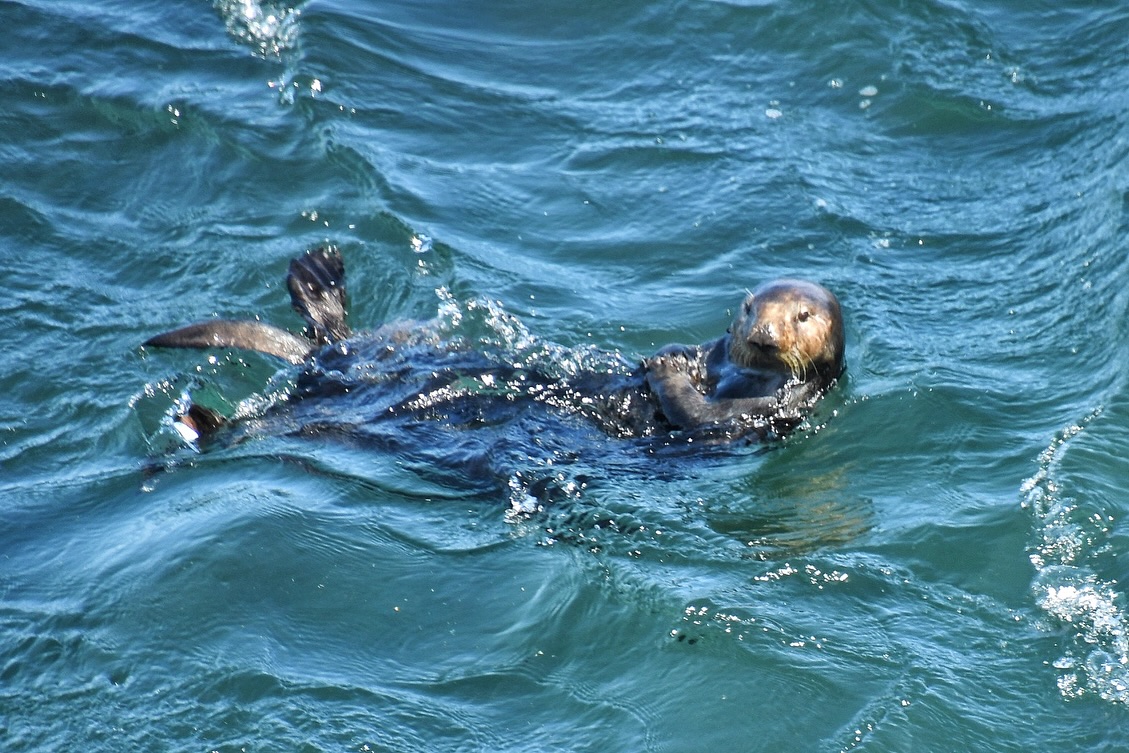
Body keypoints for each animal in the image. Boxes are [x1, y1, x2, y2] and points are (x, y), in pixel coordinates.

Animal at [143, 247, 844, 446]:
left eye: (802, 315)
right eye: (751, 307)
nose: (763, 331)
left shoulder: (768, 410)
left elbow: (700, 415)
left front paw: (665, 368)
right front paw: (667, 354)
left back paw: (200, 423)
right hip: (390, 351)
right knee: (339, 340)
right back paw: (317, 279)